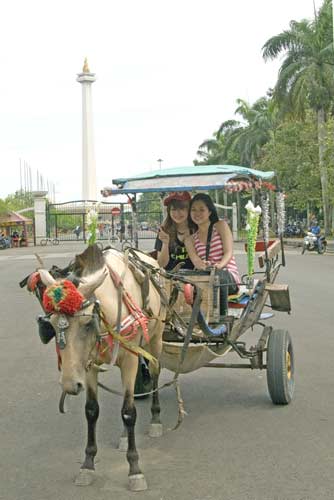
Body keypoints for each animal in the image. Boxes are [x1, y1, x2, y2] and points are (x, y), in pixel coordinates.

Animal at [35, 244, 166, 490]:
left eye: (87, 323)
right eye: (52, 324)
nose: (69, 385)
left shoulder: (131, 359)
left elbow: (129, 412)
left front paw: (135, 469)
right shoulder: (88, 366)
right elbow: (92, 410)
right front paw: (87, 464)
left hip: (156, 338)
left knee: (154, 373)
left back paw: (155, 420)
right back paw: (124, 437)